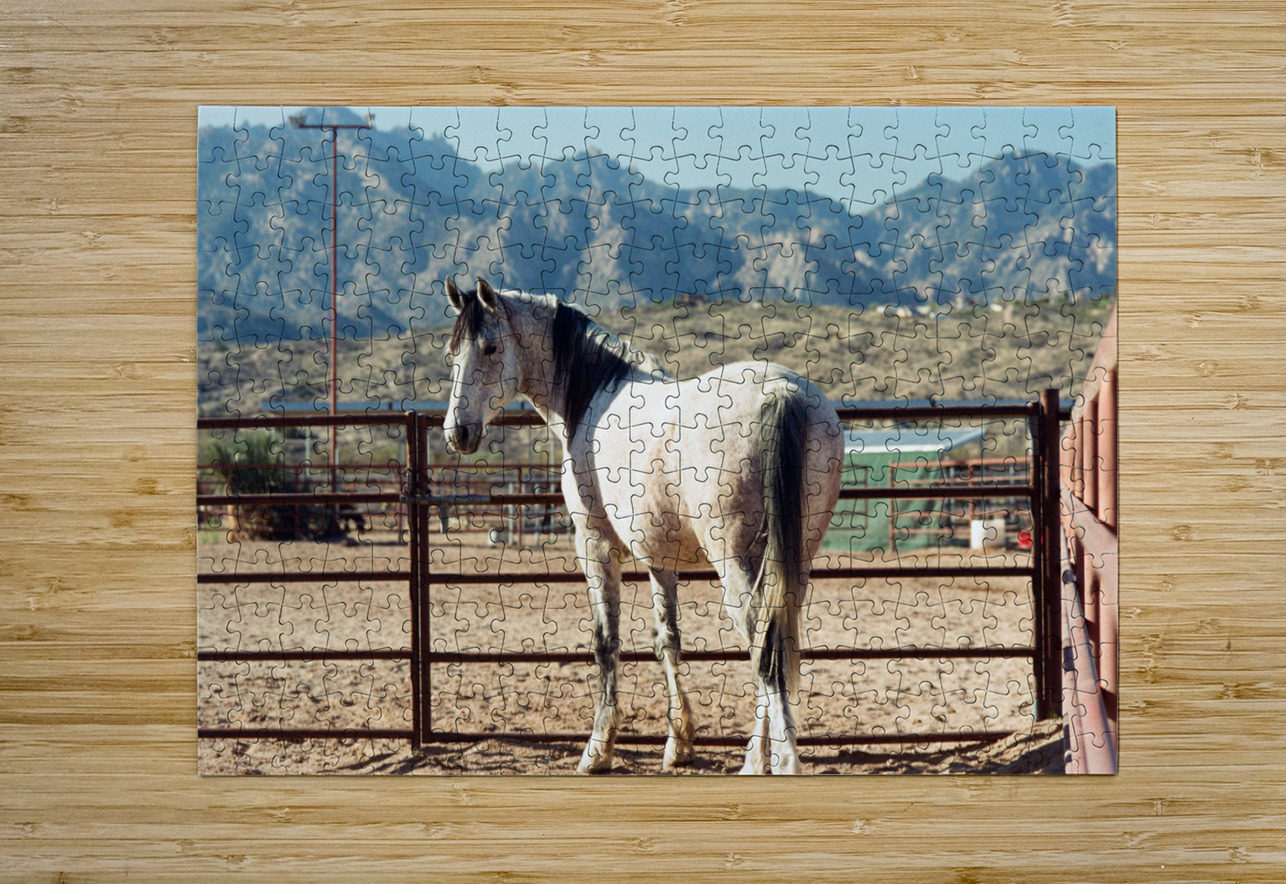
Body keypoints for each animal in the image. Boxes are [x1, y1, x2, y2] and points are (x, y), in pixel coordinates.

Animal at [443, 277, 843, 774]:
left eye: (490, 347)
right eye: (452, 352)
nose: (457, 432)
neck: (592, 394)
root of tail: (781, 392)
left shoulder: (594, 545)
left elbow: (606, 643)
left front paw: (597, 749)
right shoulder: (660, 559)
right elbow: (667, 640)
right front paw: (679, 743)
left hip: (735, 562)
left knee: (762, 647)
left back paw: (776, 763)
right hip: (795, 560)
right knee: (776, 641)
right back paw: (757, 758)